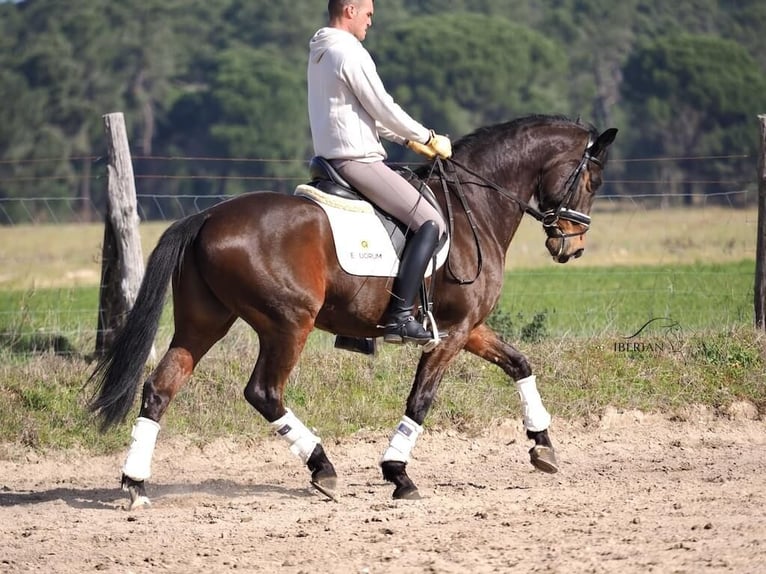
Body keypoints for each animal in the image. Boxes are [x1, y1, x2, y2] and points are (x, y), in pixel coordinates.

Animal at [89, 114, 617, 508]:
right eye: (592, 180)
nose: (571, 247)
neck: (476, 207)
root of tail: (206, 217)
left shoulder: (469, 328)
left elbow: (519, 363)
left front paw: (542, 445)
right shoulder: (451, 333)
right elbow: (420, 400)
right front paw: (398, 473)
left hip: (204, 323)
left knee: (161, 388)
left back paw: (135, 485)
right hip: (289, 324)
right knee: (264, 392)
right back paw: (323, 467)